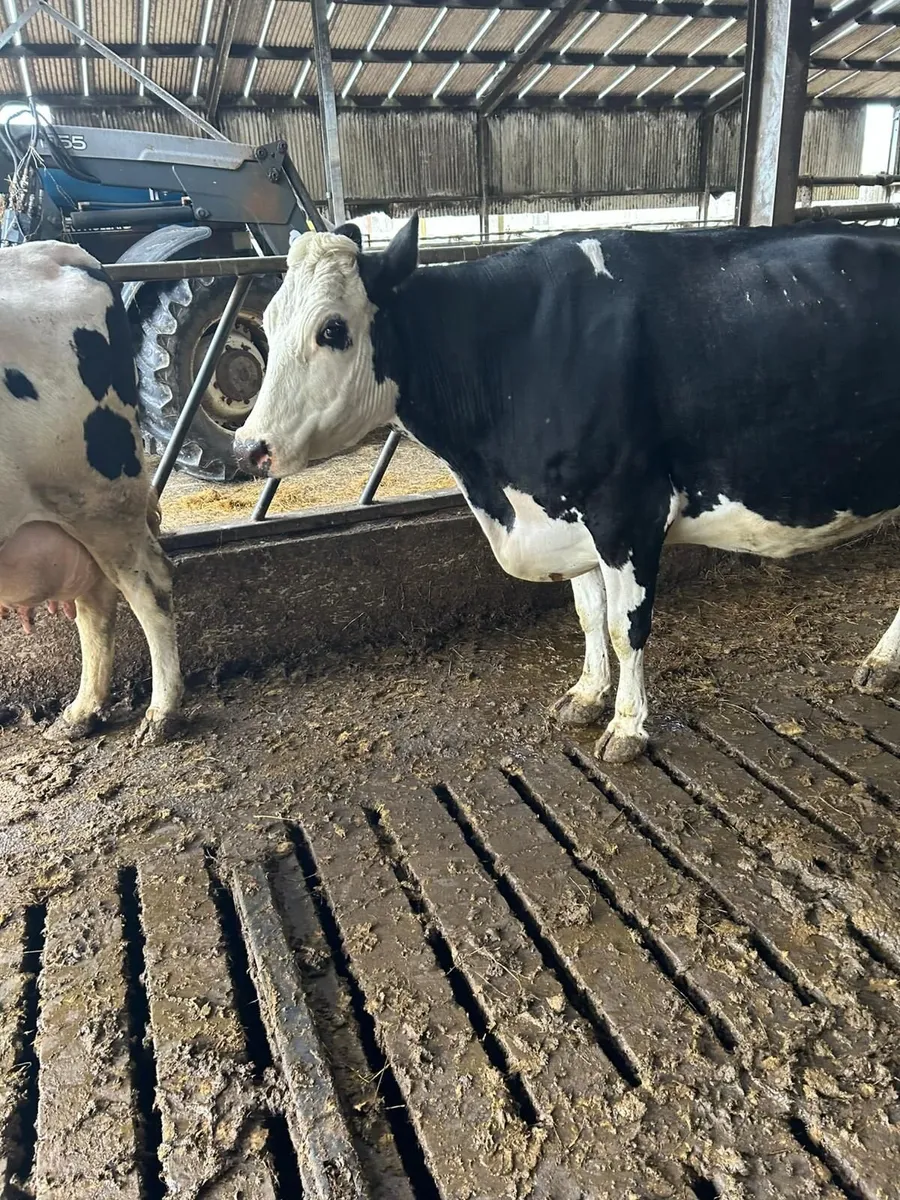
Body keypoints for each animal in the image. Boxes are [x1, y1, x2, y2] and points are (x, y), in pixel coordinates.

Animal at [0, 239, 182, 744]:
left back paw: (162, 712)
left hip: (98, 500)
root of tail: (59, 251)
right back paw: (82, 712)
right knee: (96, 597)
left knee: (146, 587)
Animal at [233, 216, 900, 764]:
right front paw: (585, 696)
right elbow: (587, 612)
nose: (247, 448)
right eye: (266, 322)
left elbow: (626, 628)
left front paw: (628, 728)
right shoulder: (562, 512)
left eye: (333, 329)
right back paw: (882, 665)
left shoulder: (626, 510)